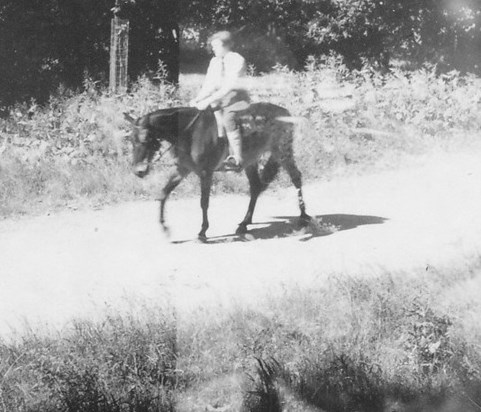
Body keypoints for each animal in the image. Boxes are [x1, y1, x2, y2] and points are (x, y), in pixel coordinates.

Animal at [124, 102, 310, 241]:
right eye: (131, 140)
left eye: (146, 139)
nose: (139, 171)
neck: (188, 132)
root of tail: (284, 112)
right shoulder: (182, 169)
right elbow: (164, 194)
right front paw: (164, 228)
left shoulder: (206, 172)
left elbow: (204, 202)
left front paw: (202, 232)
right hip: (251, 161)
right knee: (255, 187)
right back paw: (244, 223)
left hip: (282, 151)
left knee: (296, 177)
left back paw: (303, 216)